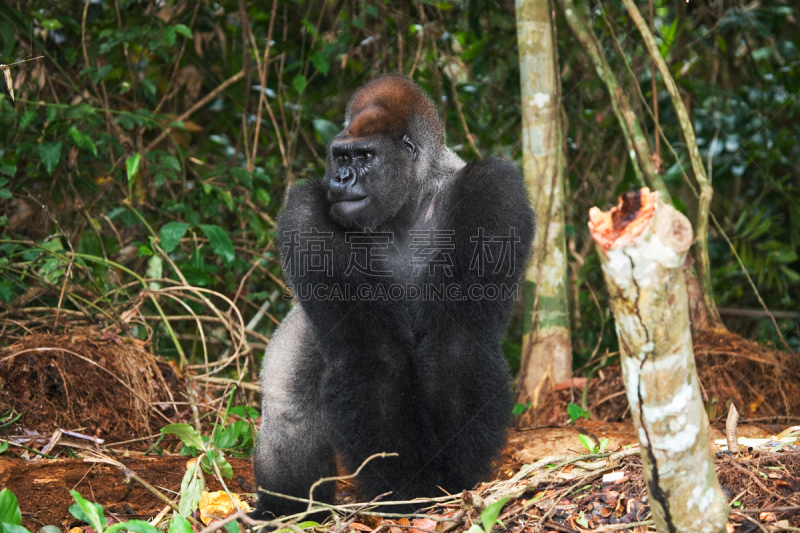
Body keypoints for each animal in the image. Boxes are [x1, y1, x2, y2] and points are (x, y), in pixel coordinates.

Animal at [253, 76, 536, 520]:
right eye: (340, 156)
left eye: (365, 156)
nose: (341, 179)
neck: (409, 202)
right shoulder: (304, 212)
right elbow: (373, 354)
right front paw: (405, 489)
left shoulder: (492, 189)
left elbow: (457, 345)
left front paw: (451, 478)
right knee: (290, 409)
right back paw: (288, 511)